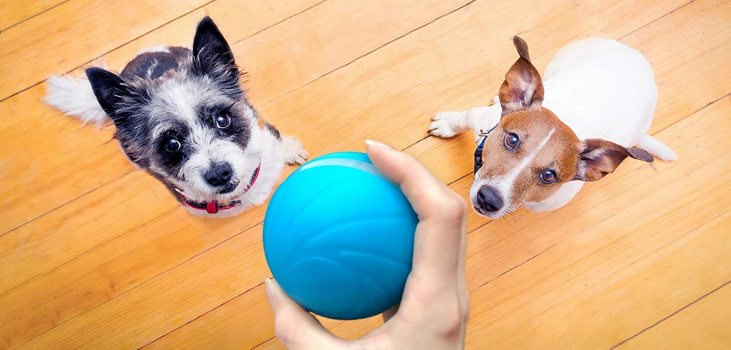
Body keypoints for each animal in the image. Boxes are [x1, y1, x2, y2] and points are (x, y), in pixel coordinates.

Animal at [428, 37, 676, 219]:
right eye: (512, 140)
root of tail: (638, 58)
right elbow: (463, 118)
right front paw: (447, 124)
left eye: (548, 176)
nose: (489, 199)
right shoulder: (480, 119)